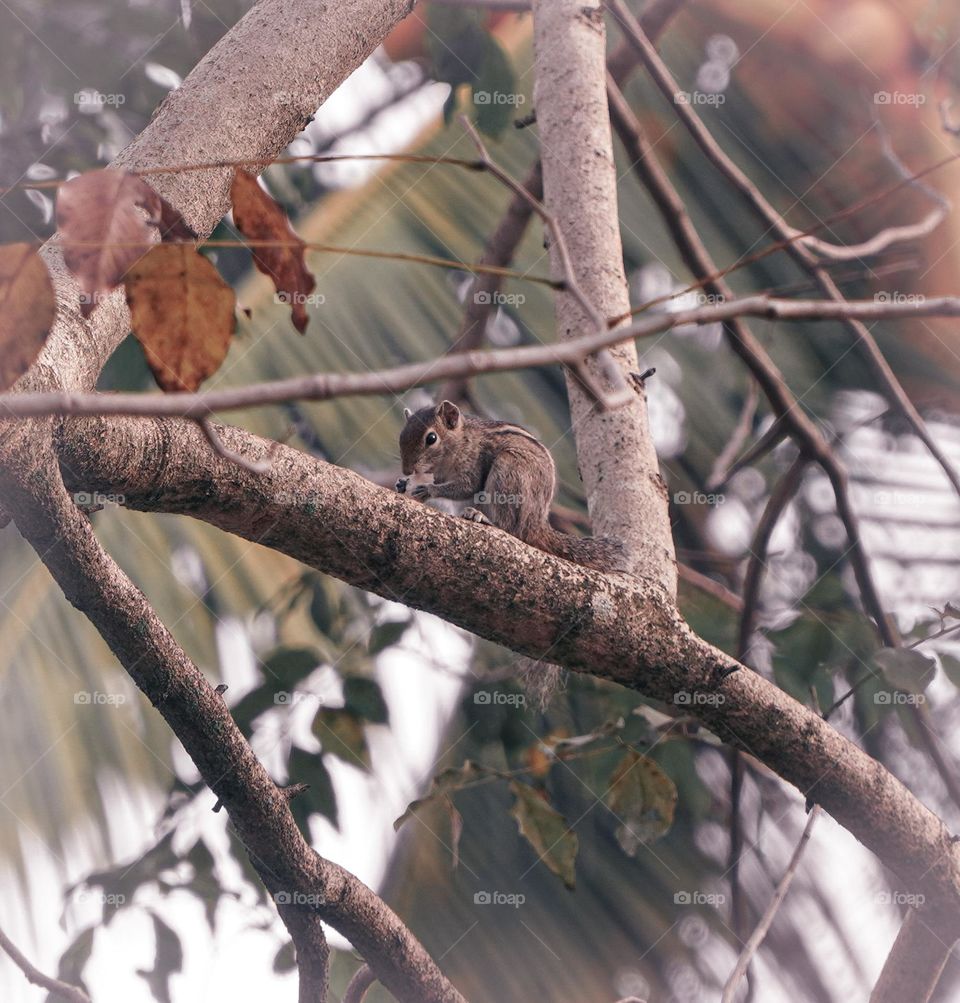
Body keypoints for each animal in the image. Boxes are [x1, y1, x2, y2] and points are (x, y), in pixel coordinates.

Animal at [396, 400, 629, 574]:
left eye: (431, 438)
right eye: (401, 436)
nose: (406, 470)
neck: (460, 440)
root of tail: (535, 523)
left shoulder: (474, 462)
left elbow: (465, 486)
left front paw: (427, 489)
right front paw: (404, 483)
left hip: (509, 471)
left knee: (510, 528)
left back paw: (484, 518)